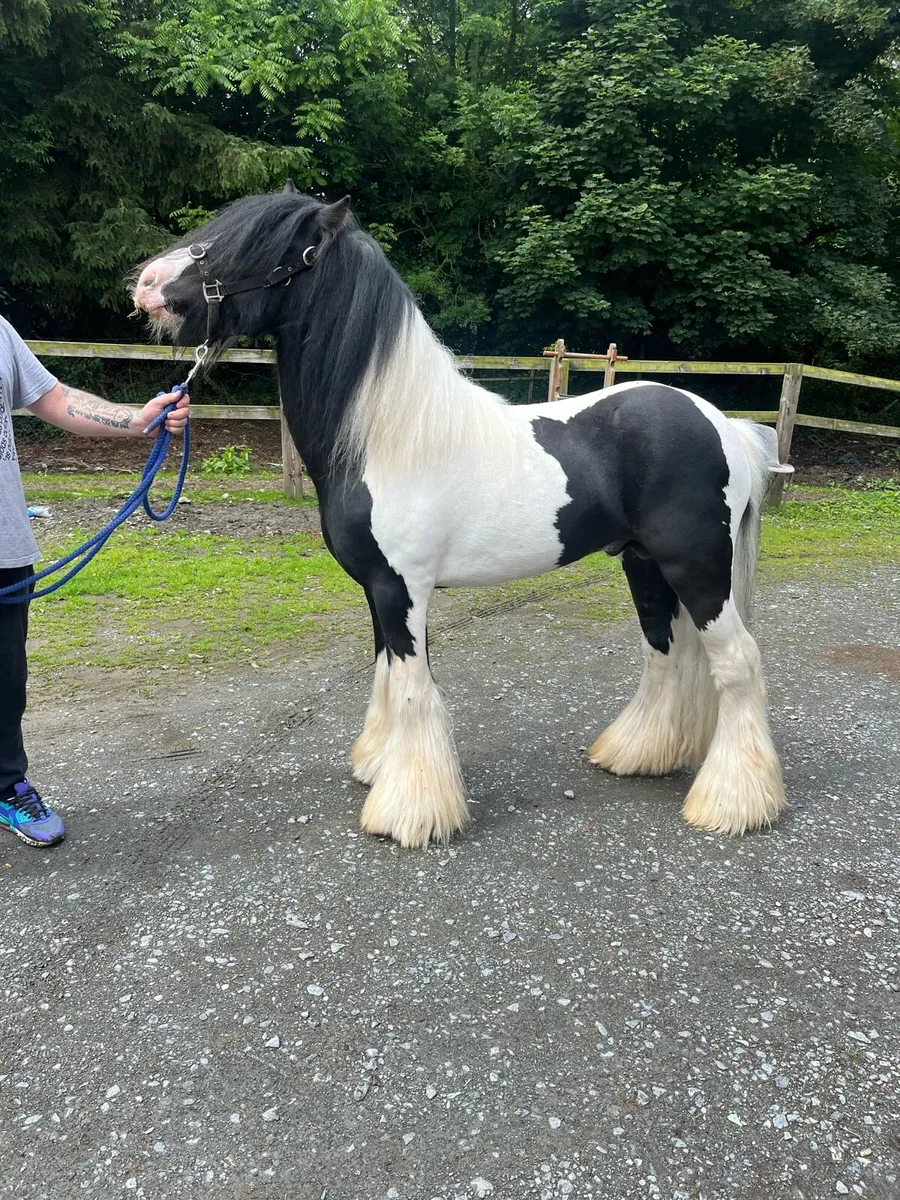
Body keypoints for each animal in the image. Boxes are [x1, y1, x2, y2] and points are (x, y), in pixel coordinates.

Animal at [132, 186, 787, 849]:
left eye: (258, 243)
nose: (147, 285)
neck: (388, 441)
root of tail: (723, 424)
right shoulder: (377, 589)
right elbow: (388, 677)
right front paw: (379, 764)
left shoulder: (402, 589)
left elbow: (414, 690)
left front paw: (410, 810)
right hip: (644, 563)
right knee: (665, 652)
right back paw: (637, 754)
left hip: (698, 567)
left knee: (737, 663)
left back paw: (733, 803)